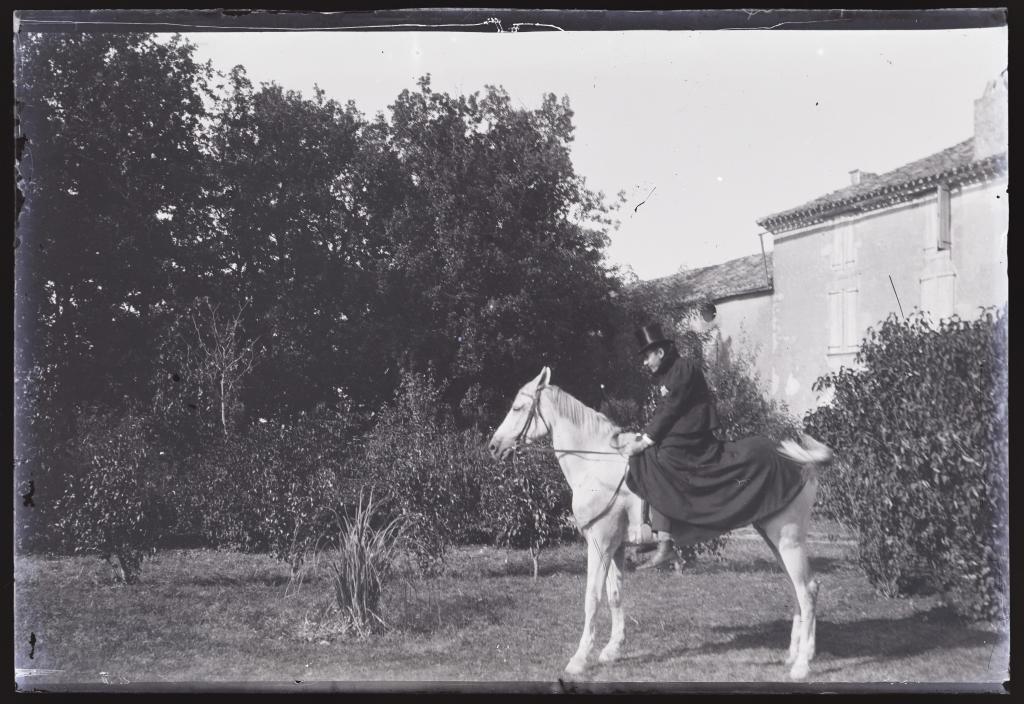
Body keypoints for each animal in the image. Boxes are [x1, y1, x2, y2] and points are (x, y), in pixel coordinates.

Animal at [485, 368, 831, 683]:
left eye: (518, 407)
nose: (493, 446)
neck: (598, 464)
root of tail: (801, 462)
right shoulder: (615, 546)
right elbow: (614, 593)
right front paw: (612, 650)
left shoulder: (599, 542)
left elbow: (592, 598)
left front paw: (580, 659)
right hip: (773, 538)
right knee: (797, 589)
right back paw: (793, 655)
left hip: (788, 539)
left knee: (808, 590)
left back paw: (802, 665)